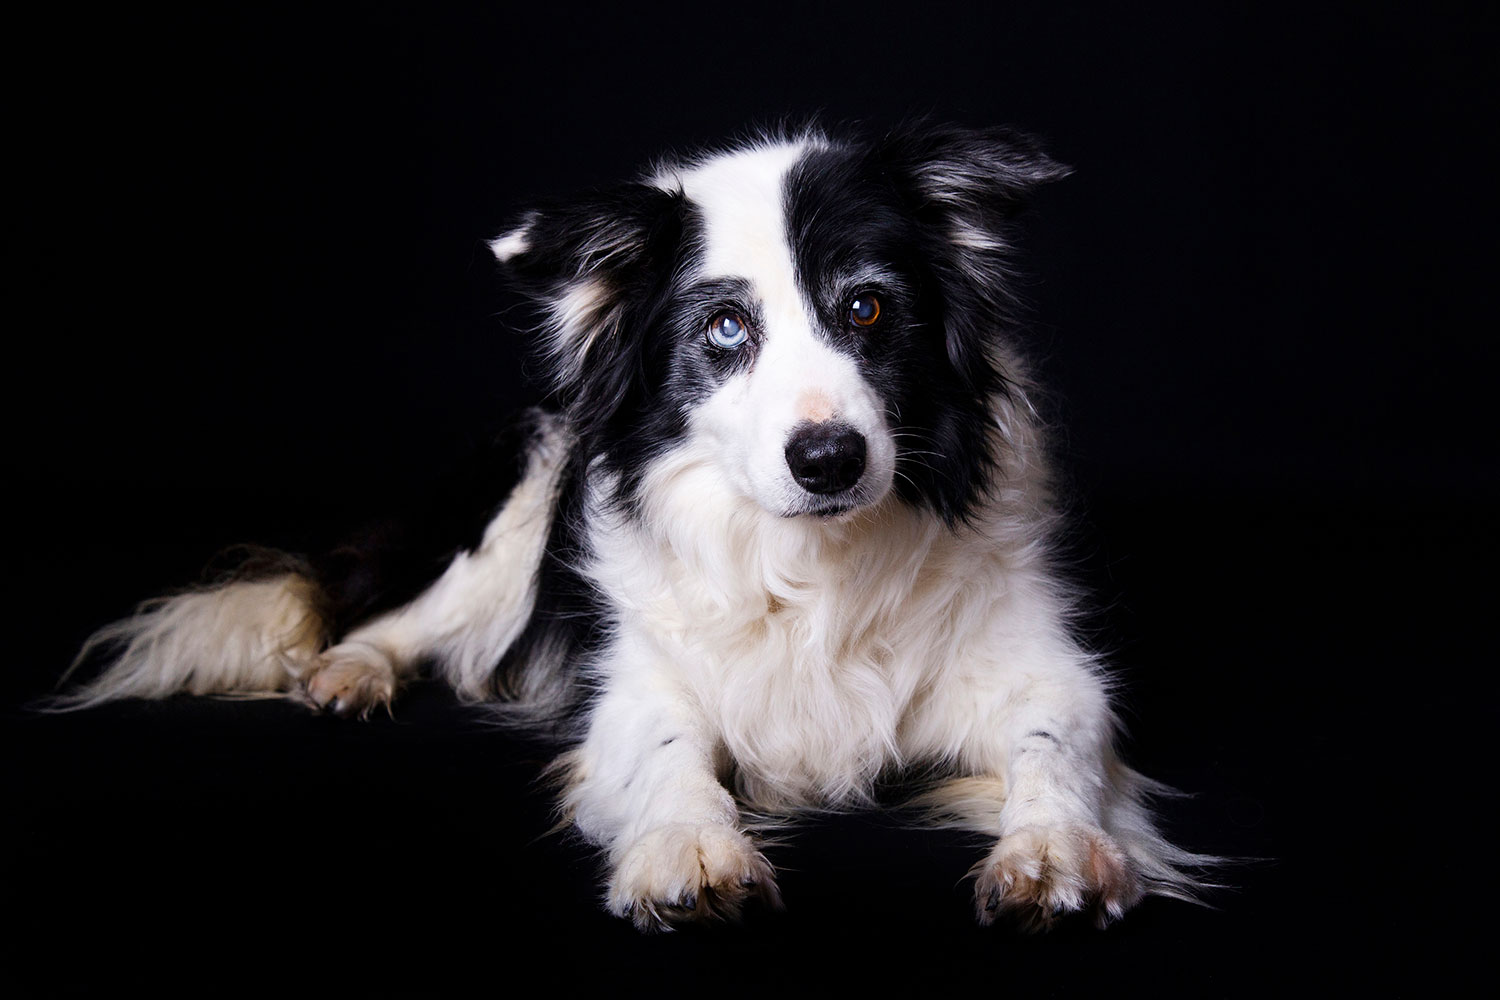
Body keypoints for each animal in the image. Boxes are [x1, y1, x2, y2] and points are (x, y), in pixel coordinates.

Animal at [58, 122, 1212, 929]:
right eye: (726, 328)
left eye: (869, 309)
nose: (830, 459)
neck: (808, 563)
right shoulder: (635, 680)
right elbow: (671, 749)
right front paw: (691, 853)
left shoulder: (1044, 670)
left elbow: (1054, 743)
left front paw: (1053, 852)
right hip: (515, 517)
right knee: (408, 614)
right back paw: (351, 671)